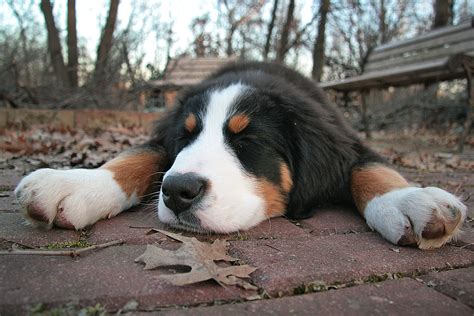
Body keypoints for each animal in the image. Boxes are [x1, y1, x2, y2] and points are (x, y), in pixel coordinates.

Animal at [14, 61, 466, 249]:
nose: (177, 191)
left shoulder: (352, 141)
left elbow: (371, 169)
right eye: (186, 137)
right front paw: (76, 182)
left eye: (247, 142)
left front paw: (408, 201)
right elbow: (137, 155)